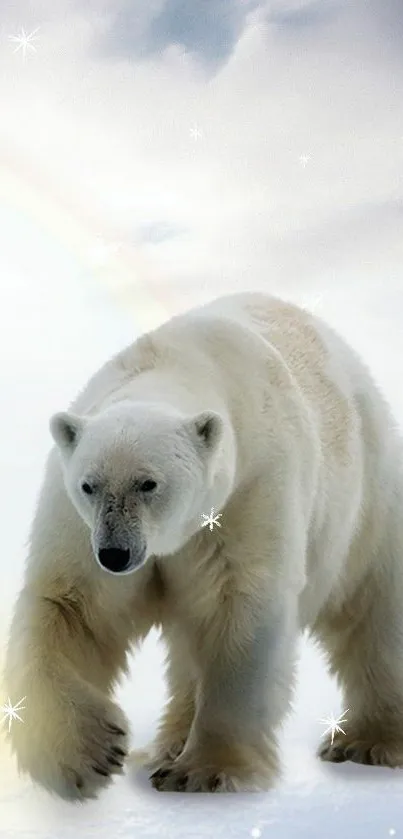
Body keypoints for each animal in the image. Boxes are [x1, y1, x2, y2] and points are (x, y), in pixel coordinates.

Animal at [4, 294, 403, 800]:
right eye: (89, 485)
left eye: (149, 483)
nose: (116, 554)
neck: (177, 362)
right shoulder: (78, 524)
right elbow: (73, 607)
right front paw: (88, 752)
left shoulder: (246, 493)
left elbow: (240, 609)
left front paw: (206, 771)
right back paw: (168, 744)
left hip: (365, 499)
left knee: (374, 609)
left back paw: (368, 742)